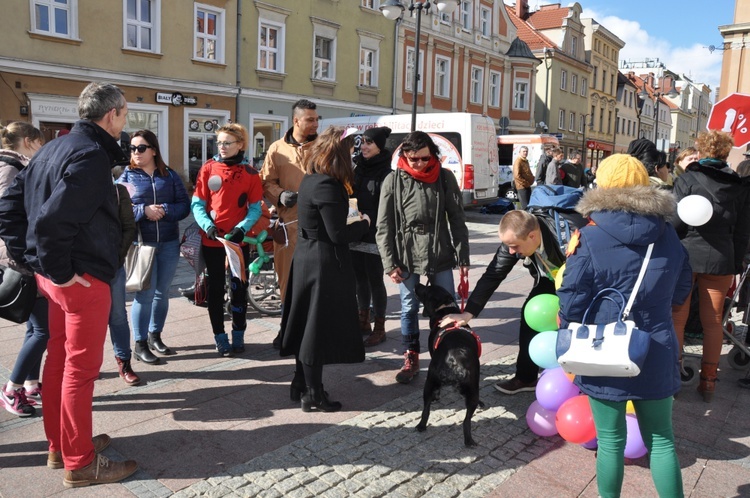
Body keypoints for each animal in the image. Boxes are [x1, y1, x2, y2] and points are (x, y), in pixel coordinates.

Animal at [414, 284, 484, 448]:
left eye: (426, 290)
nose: (416, 285)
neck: (445, 308)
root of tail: (454, 360)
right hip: (471, 390)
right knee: (466, 421)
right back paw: (469, 441)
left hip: (429, 382)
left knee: (426, 410)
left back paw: (421, 425)